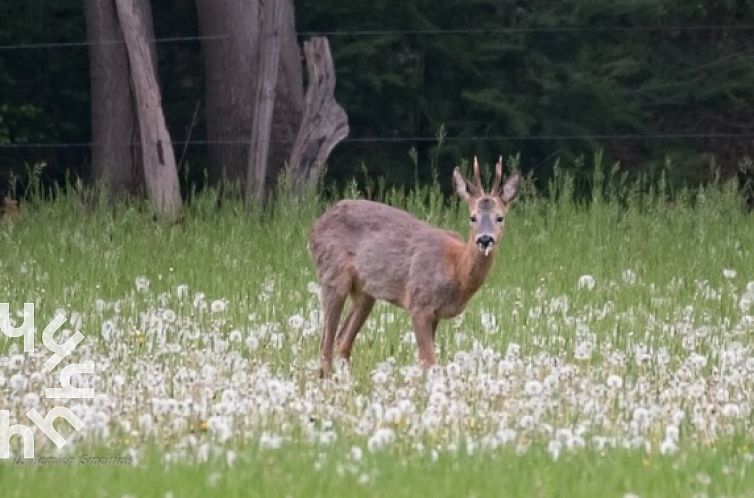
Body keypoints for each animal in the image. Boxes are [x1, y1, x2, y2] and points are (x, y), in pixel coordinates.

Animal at [308, 158, 520, 376]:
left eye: (500, 217)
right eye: (473, 217)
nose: (485, 239)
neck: (456, 270)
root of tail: (314, 228)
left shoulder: (435, 314)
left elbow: (424, 361)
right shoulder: (419, 303)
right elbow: (429, 361)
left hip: (364, 293)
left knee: (342, 339)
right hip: (332, 274)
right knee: (325, 343)